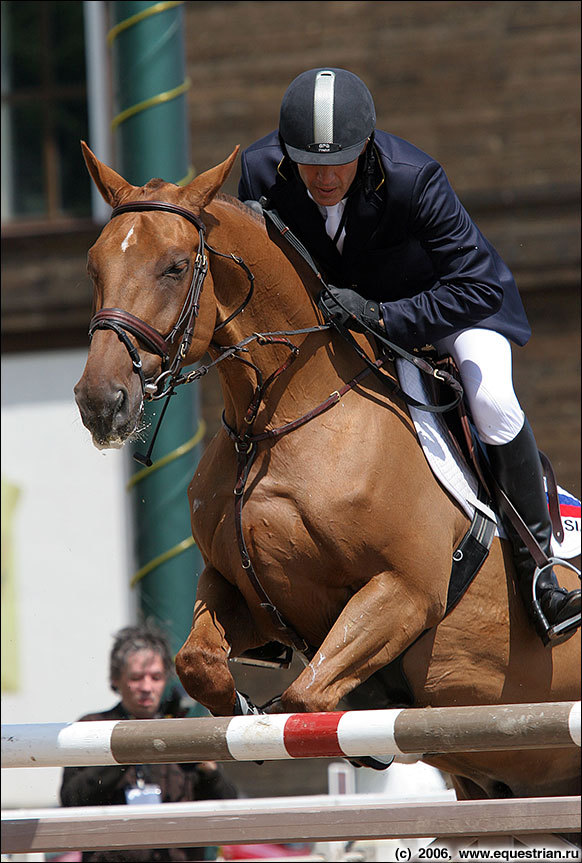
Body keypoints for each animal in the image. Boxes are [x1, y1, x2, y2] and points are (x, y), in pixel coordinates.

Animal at [75, 145, 580, 800]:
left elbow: (307, 697)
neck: (276, 422)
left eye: (176, 267)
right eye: (94, 267)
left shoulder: (405, 592)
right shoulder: (239, 588)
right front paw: (240, 711)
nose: (100, 401)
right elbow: (199, 663)